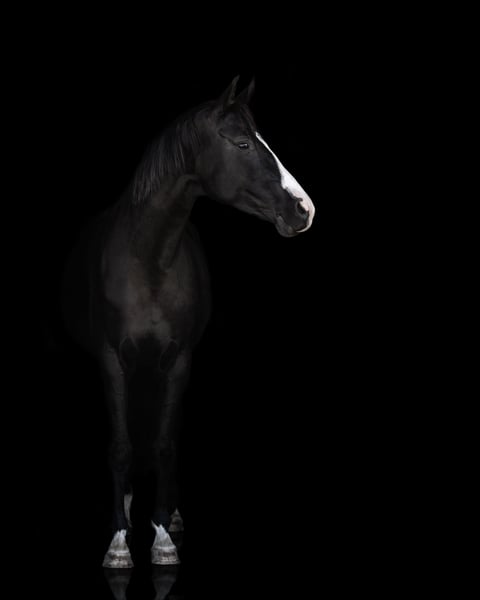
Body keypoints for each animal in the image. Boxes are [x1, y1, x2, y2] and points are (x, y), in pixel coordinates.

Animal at [61, 75, 315, 569]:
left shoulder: (178, 361)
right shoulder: (111, 360)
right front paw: (118, 542)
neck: (147, 260)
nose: (304, 210)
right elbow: (120, 447)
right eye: (242, 142)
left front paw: (162, 537)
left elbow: (164, 443)